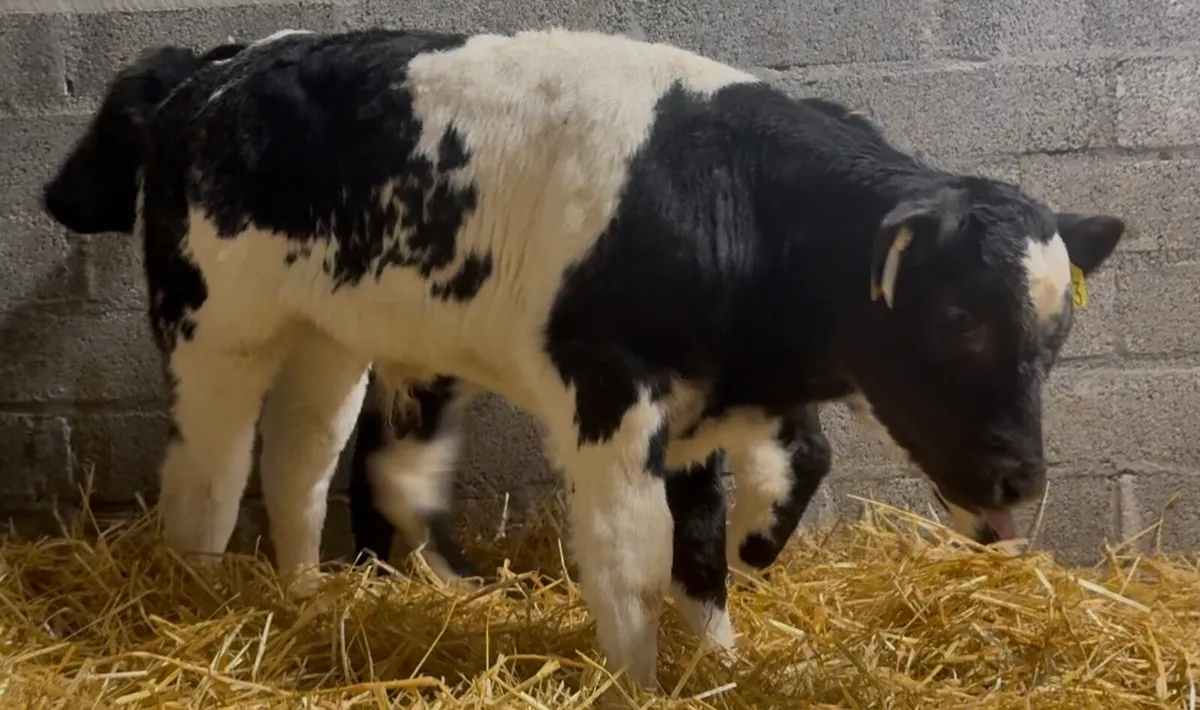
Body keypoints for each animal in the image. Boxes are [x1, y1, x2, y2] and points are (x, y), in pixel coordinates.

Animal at [40, 27, 1125, 688]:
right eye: (958, 316)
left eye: (1057, 337)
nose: (1020, 480)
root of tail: (217, 64)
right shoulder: (607, 386)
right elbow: (625, 550)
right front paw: (637, 679)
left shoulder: (707, 405)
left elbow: (709, 541)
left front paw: (725, 649)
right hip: (212, 324)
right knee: (210, 475)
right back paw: (200, 603)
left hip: (331, 334)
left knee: (301, 458)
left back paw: (304, 595)